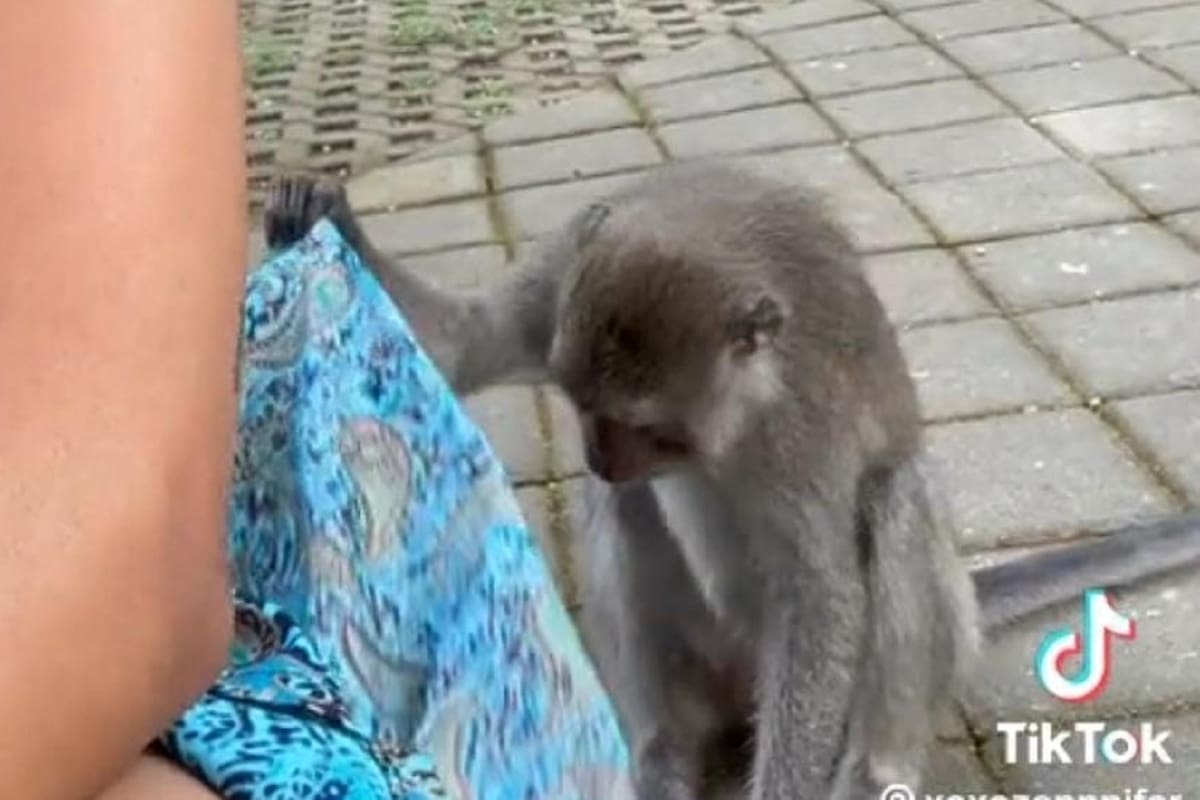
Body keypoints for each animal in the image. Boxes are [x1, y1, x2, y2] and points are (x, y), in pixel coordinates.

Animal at [262, 167, 1200, 800]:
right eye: (579, 403)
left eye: (648, 427)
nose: (599, 454)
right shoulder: (568, 268)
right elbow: (471, 343)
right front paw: (328, 214)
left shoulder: (799, 428)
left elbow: (823, 595)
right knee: (627, 509)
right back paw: (663, 755)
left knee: (895, 496)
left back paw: (876, 770)